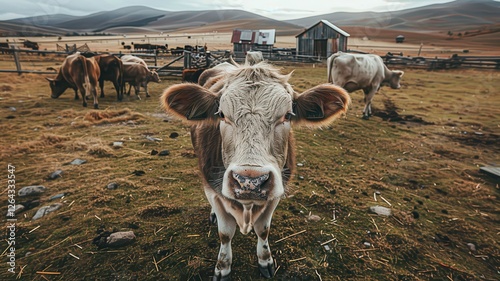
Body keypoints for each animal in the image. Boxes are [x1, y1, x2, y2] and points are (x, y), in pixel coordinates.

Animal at [162, 52, 350, 278]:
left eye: (287, 115)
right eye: (221, 114)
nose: (249, 182)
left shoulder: (276, 193)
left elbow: (263, 230)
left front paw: (265, 260)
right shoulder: (212, 188)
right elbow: (225, 233)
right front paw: (223, 267)